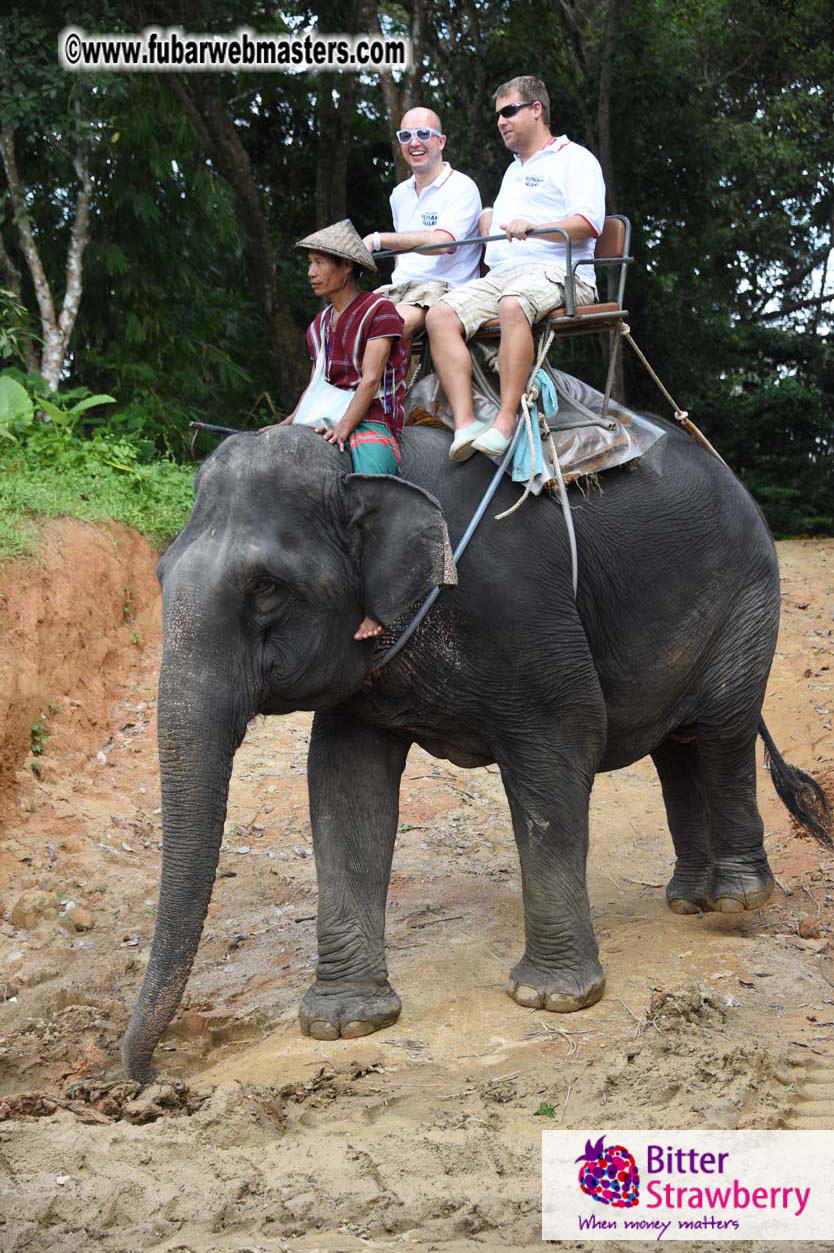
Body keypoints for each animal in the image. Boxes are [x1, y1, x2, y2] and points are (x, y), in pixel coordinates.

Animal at [121, 419, 830, 1082]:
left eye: (265, 588)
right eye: (158, 574)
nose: (153, 1074)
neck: (368, 468)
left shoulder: (522, 608)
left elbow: (565, 742)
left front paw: (551, 999)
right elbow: (344, 786)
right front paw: (343, 1024)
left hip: (749, 599)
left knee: (722, 731)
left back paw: (737, 898)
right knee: (675, 750)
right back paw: (687, 899)